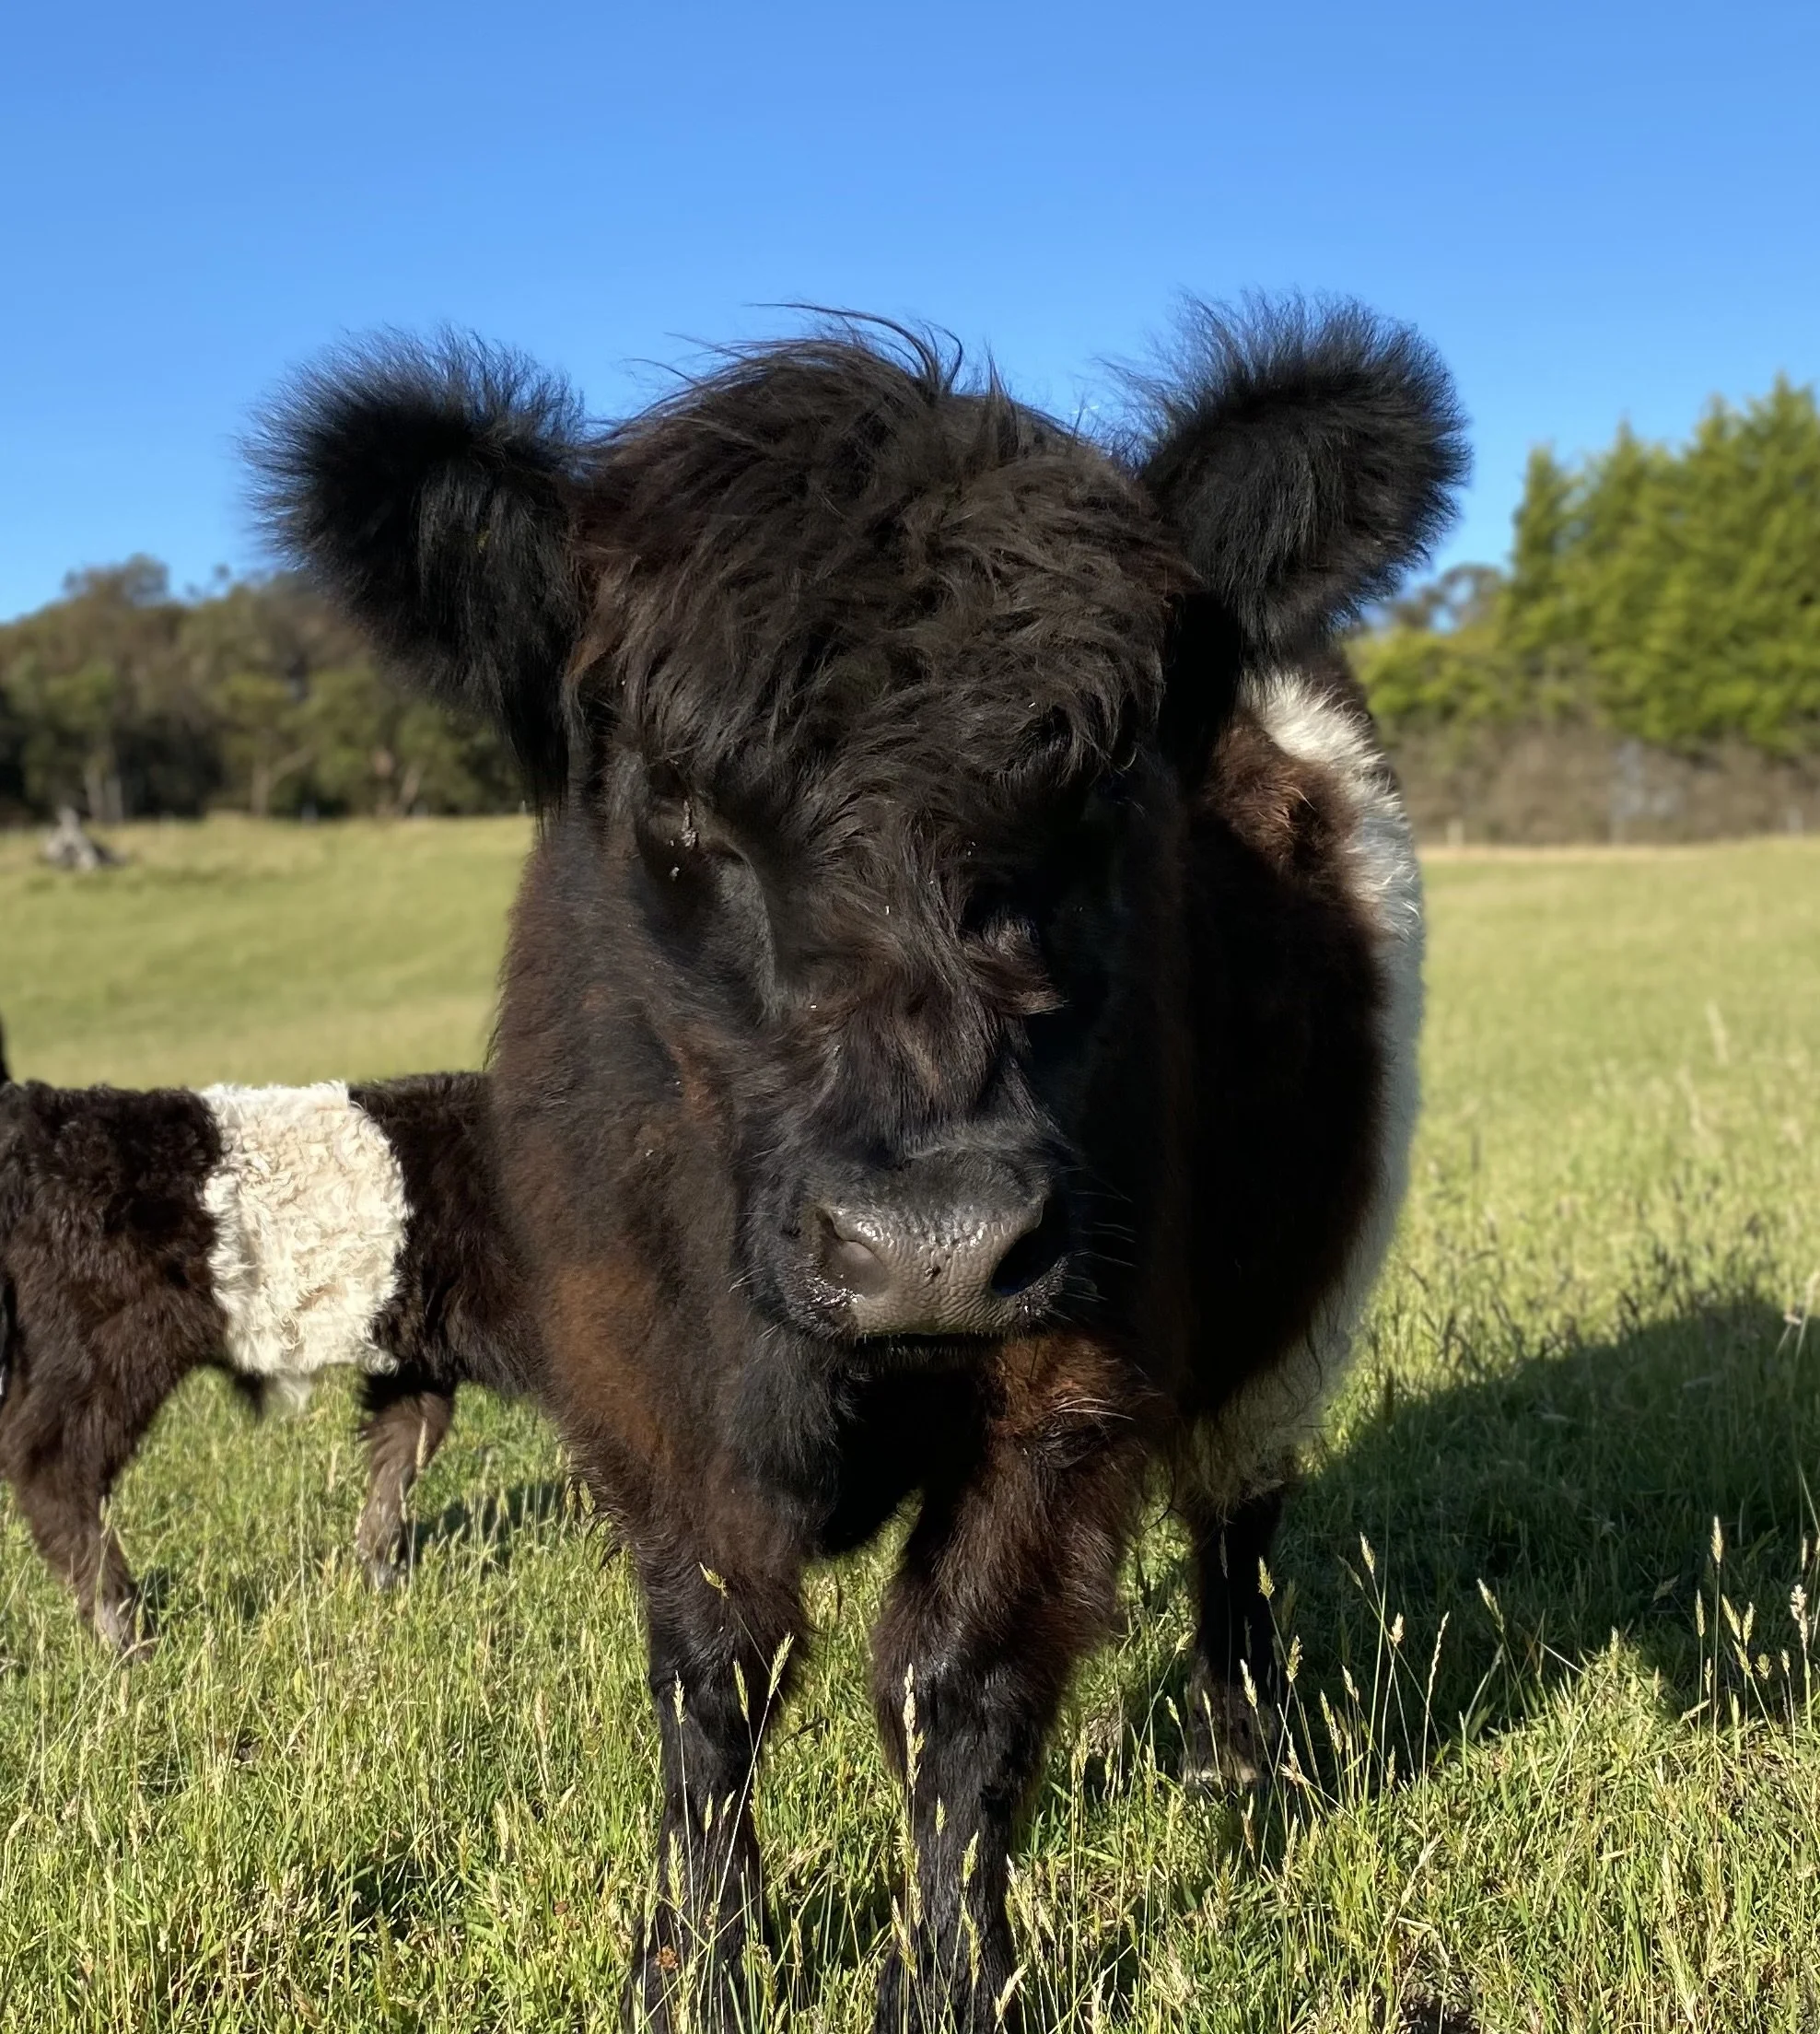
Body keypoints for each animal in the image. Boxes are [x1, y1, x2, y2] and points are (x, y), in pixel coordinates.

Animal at [257, 300, 1462, 2031]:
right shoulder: (641, 1383)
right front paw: (697, 1962)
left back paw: (1246, 1777)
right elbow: (715, 1673)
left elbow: (954, 1686)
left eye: (1102, 793)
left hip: (1300, 1310)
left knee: (1236, 1538)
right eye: (678, 808)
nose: (928, 1246)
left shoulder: (1070, 1382)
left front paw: (956, 1980)